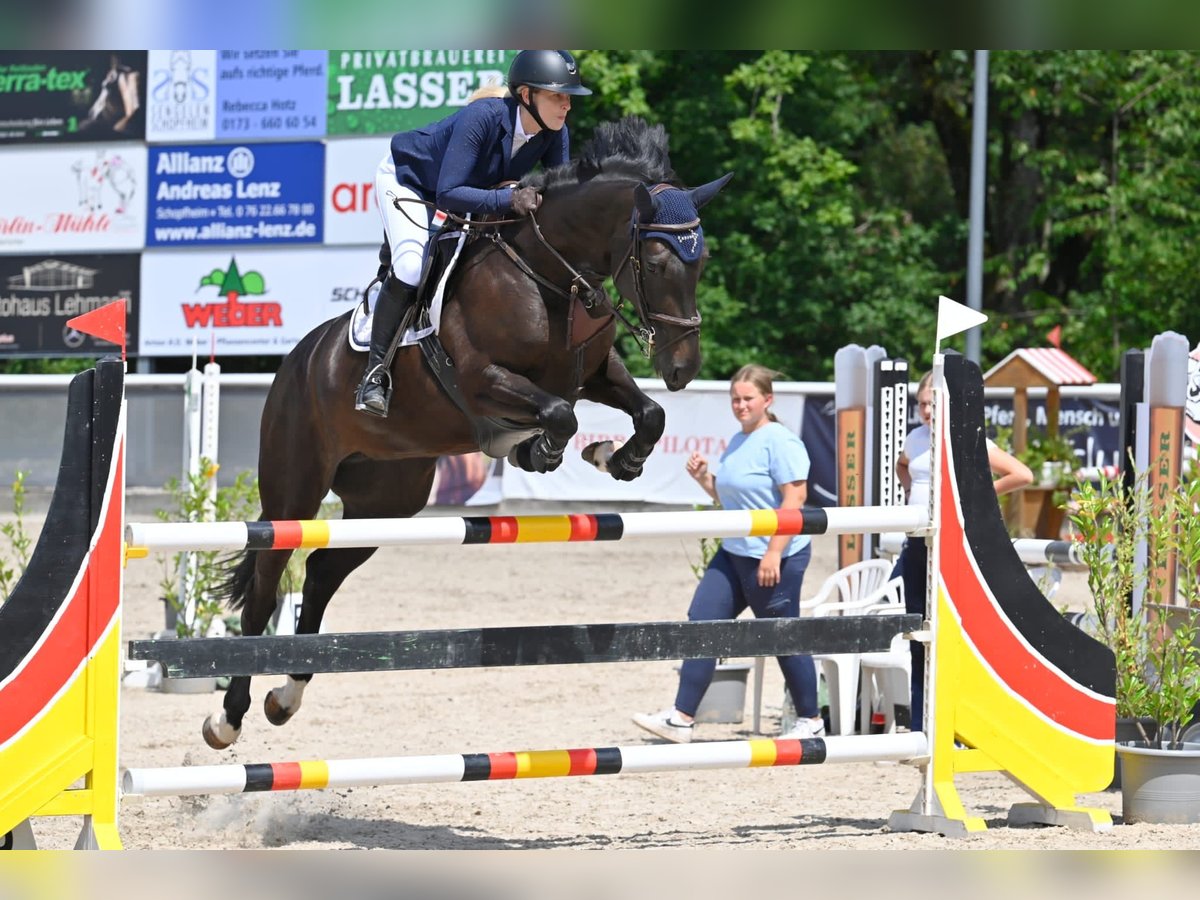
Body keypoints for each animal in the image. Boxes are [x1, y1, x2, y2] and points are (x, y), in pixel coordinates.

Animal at [204, 120, 729, 753]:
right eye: (655, 264)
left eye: (701, 263)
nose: (682, 368)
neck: (550, 275)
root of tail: (298, 360)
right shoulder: (484, 381)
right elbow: (559, 415)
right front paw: (540, 450)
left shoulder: (595, 374)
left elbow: (647, 414)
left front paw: (616, 459)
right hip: (294, 486)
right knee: (266, 583)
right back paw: (228, 717)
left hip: (387, 499)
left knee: (325, 573)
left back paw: (286, 695)